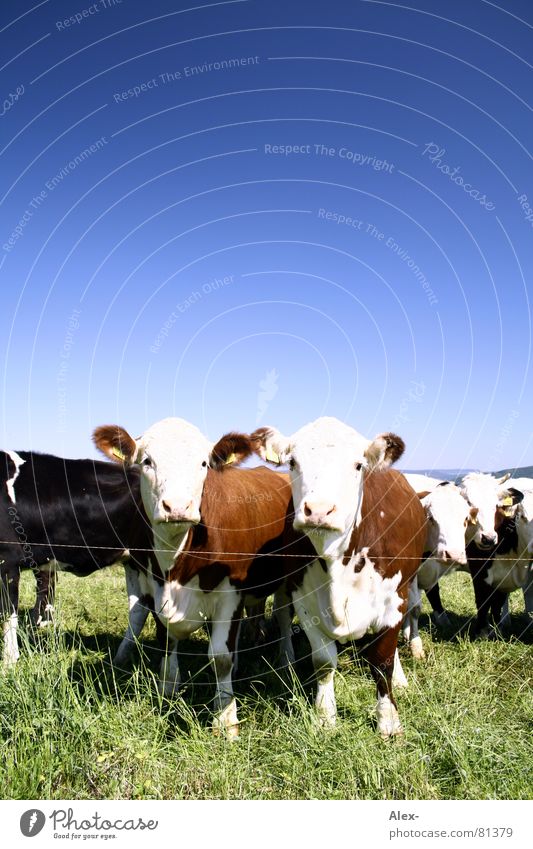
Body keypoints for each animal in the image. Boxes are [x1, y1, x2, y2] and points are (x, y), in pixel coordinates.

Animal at [93, 418, 314, 736]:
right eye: (147, 461)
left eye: (203, 464)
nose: (177, 507)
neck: (176, 565)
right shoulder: (154, 587)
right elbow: (166, 641)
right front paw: (168, 688)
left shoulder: (230, 593)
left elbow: (220, 657)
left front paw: (226, 719)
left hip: (287, 578)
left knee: (284, 616)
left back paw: (286, 660)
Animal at [247, 420, 426, 740]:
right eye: (292, 462)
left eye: (358, 465)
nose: (319, 510)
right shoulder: (304, 599)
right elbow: (323, 662)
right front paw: (325, 718)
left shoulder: (394, 599)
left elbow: (382, 660)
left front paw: (388, 722)